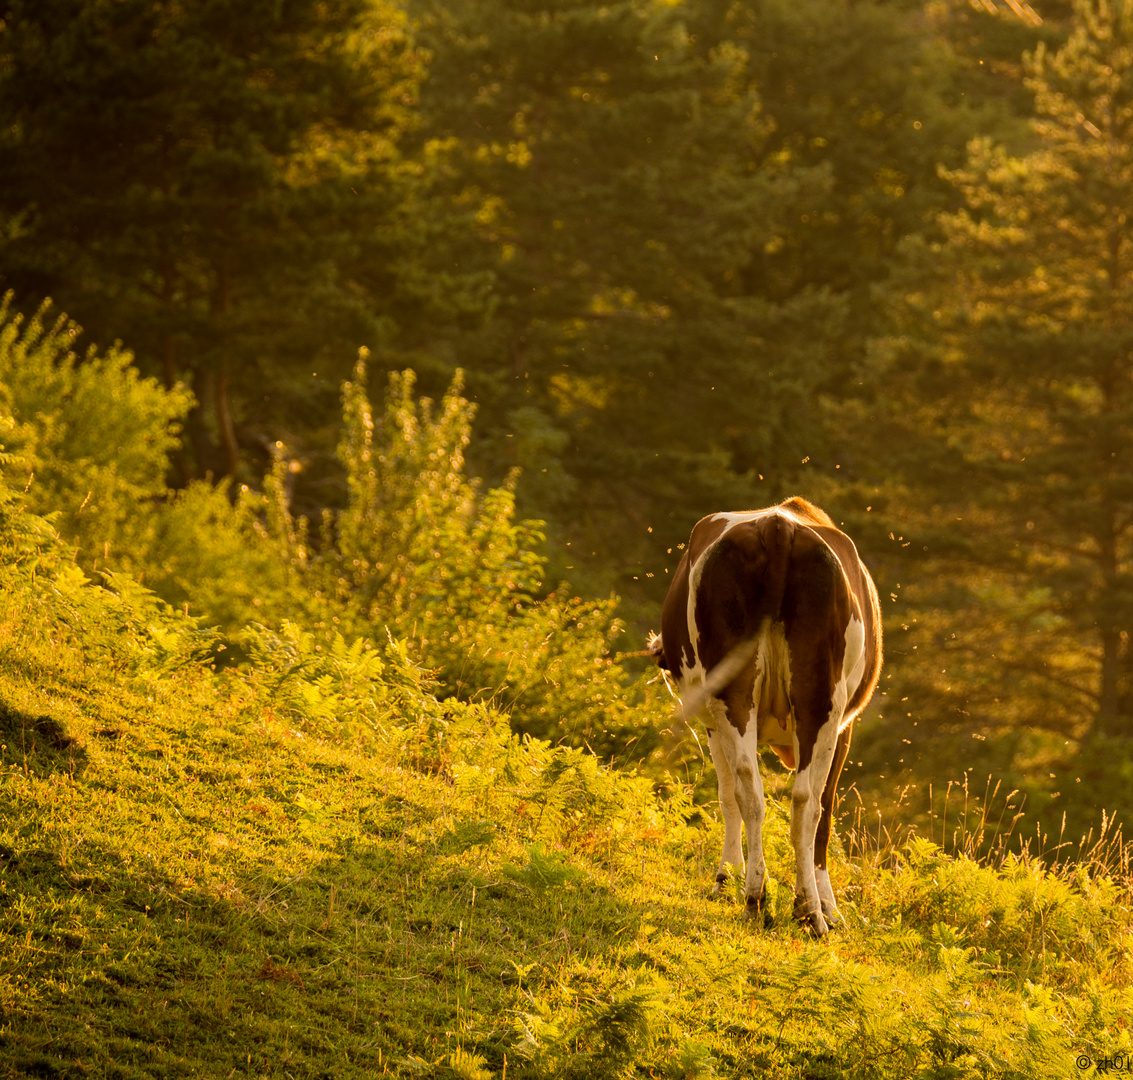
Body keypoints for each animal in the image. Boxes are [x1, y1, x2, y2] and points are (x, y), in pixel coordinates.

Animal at [652, 496, 879, 933]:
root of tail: (778, 524)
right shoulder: (846, 725)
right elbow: (825, 808)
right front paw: (830, 906)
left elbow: (733, 795)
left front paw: (728, 878)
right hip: (818, 697)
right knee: (800, 800)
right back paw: (802, 906)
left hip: (745, 692)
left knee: (757, 790)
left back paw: (762, 898)